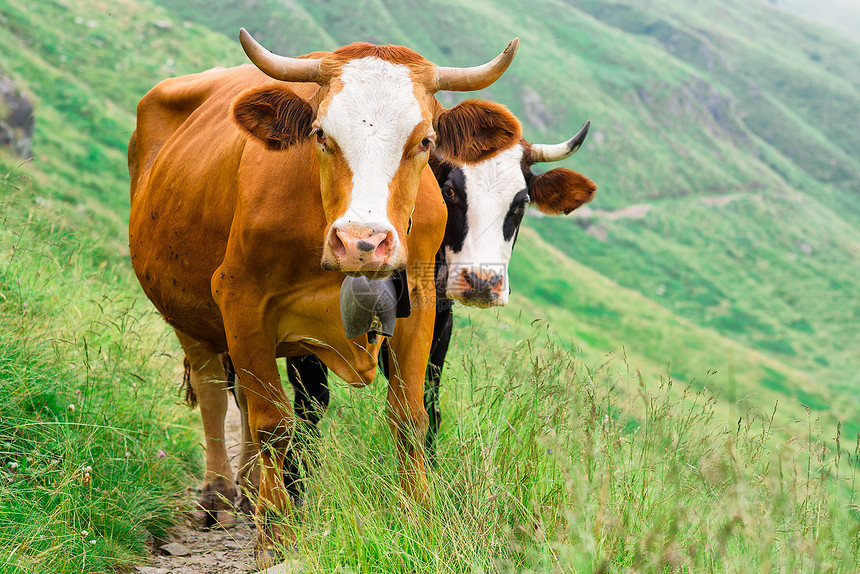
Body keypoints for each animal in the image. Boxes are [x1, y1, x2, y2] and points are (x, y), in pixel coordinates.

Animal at [126, 29, 516, 560]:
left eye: (425, 141)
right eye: (320, 134)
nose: (361, 241)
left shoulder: (421, 303)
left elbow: (410, 417)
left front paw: (418, 515)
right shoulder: (241, 299)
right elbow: (273, 422)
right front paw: (275, 532)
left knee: (241, 399)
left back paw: (250, 490)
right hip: (187, 312)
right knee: (213, 394)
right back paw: (220, 495)